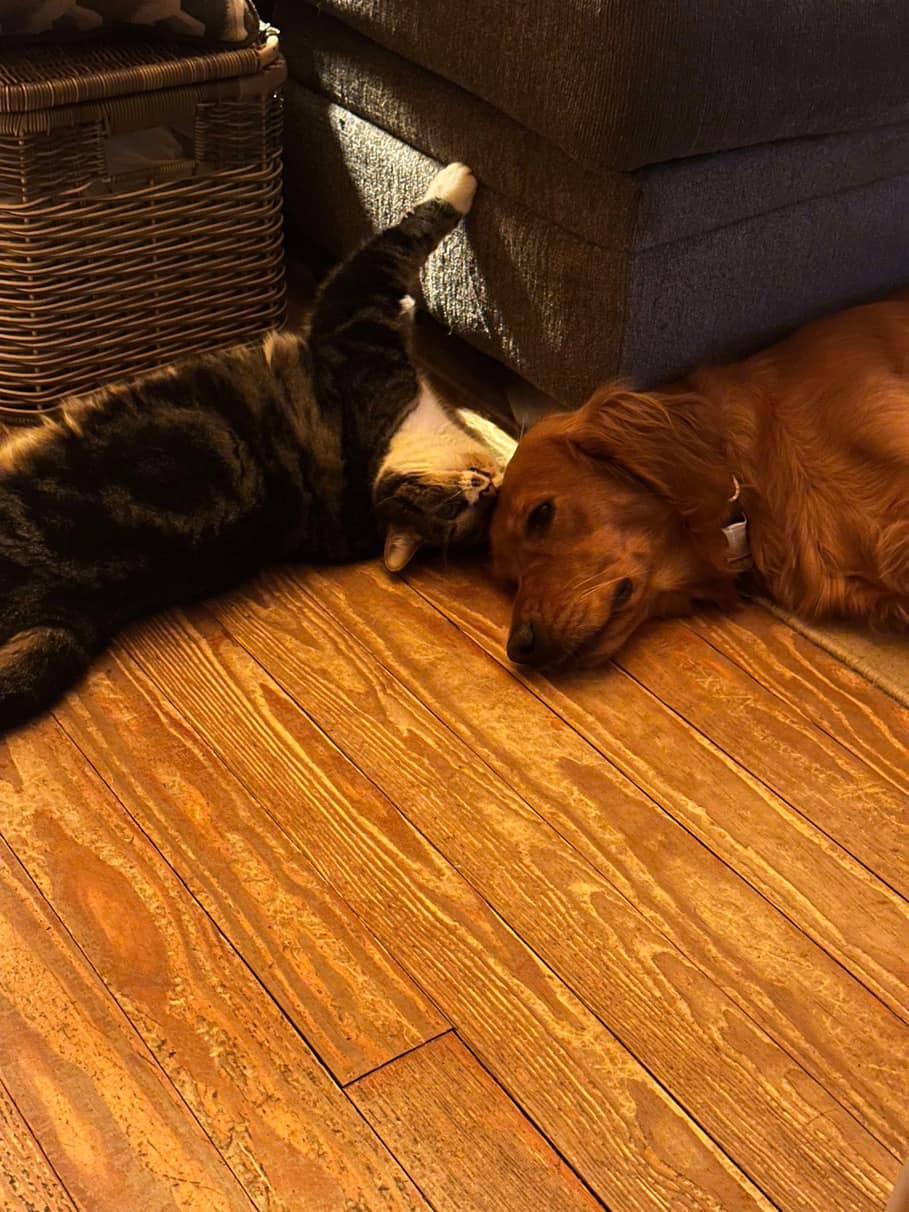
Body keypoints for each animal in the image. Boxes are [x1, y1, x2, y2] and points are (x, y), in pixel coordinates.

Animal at [0, 161, 513, 727]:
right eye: (459, 504)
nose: (488, 487)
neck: (380, 456)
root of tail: (67, 602)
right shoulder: (358, 311)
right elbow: (406, 244)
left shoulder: (354, 308)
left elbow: (410, 232)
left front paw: (457, 179)